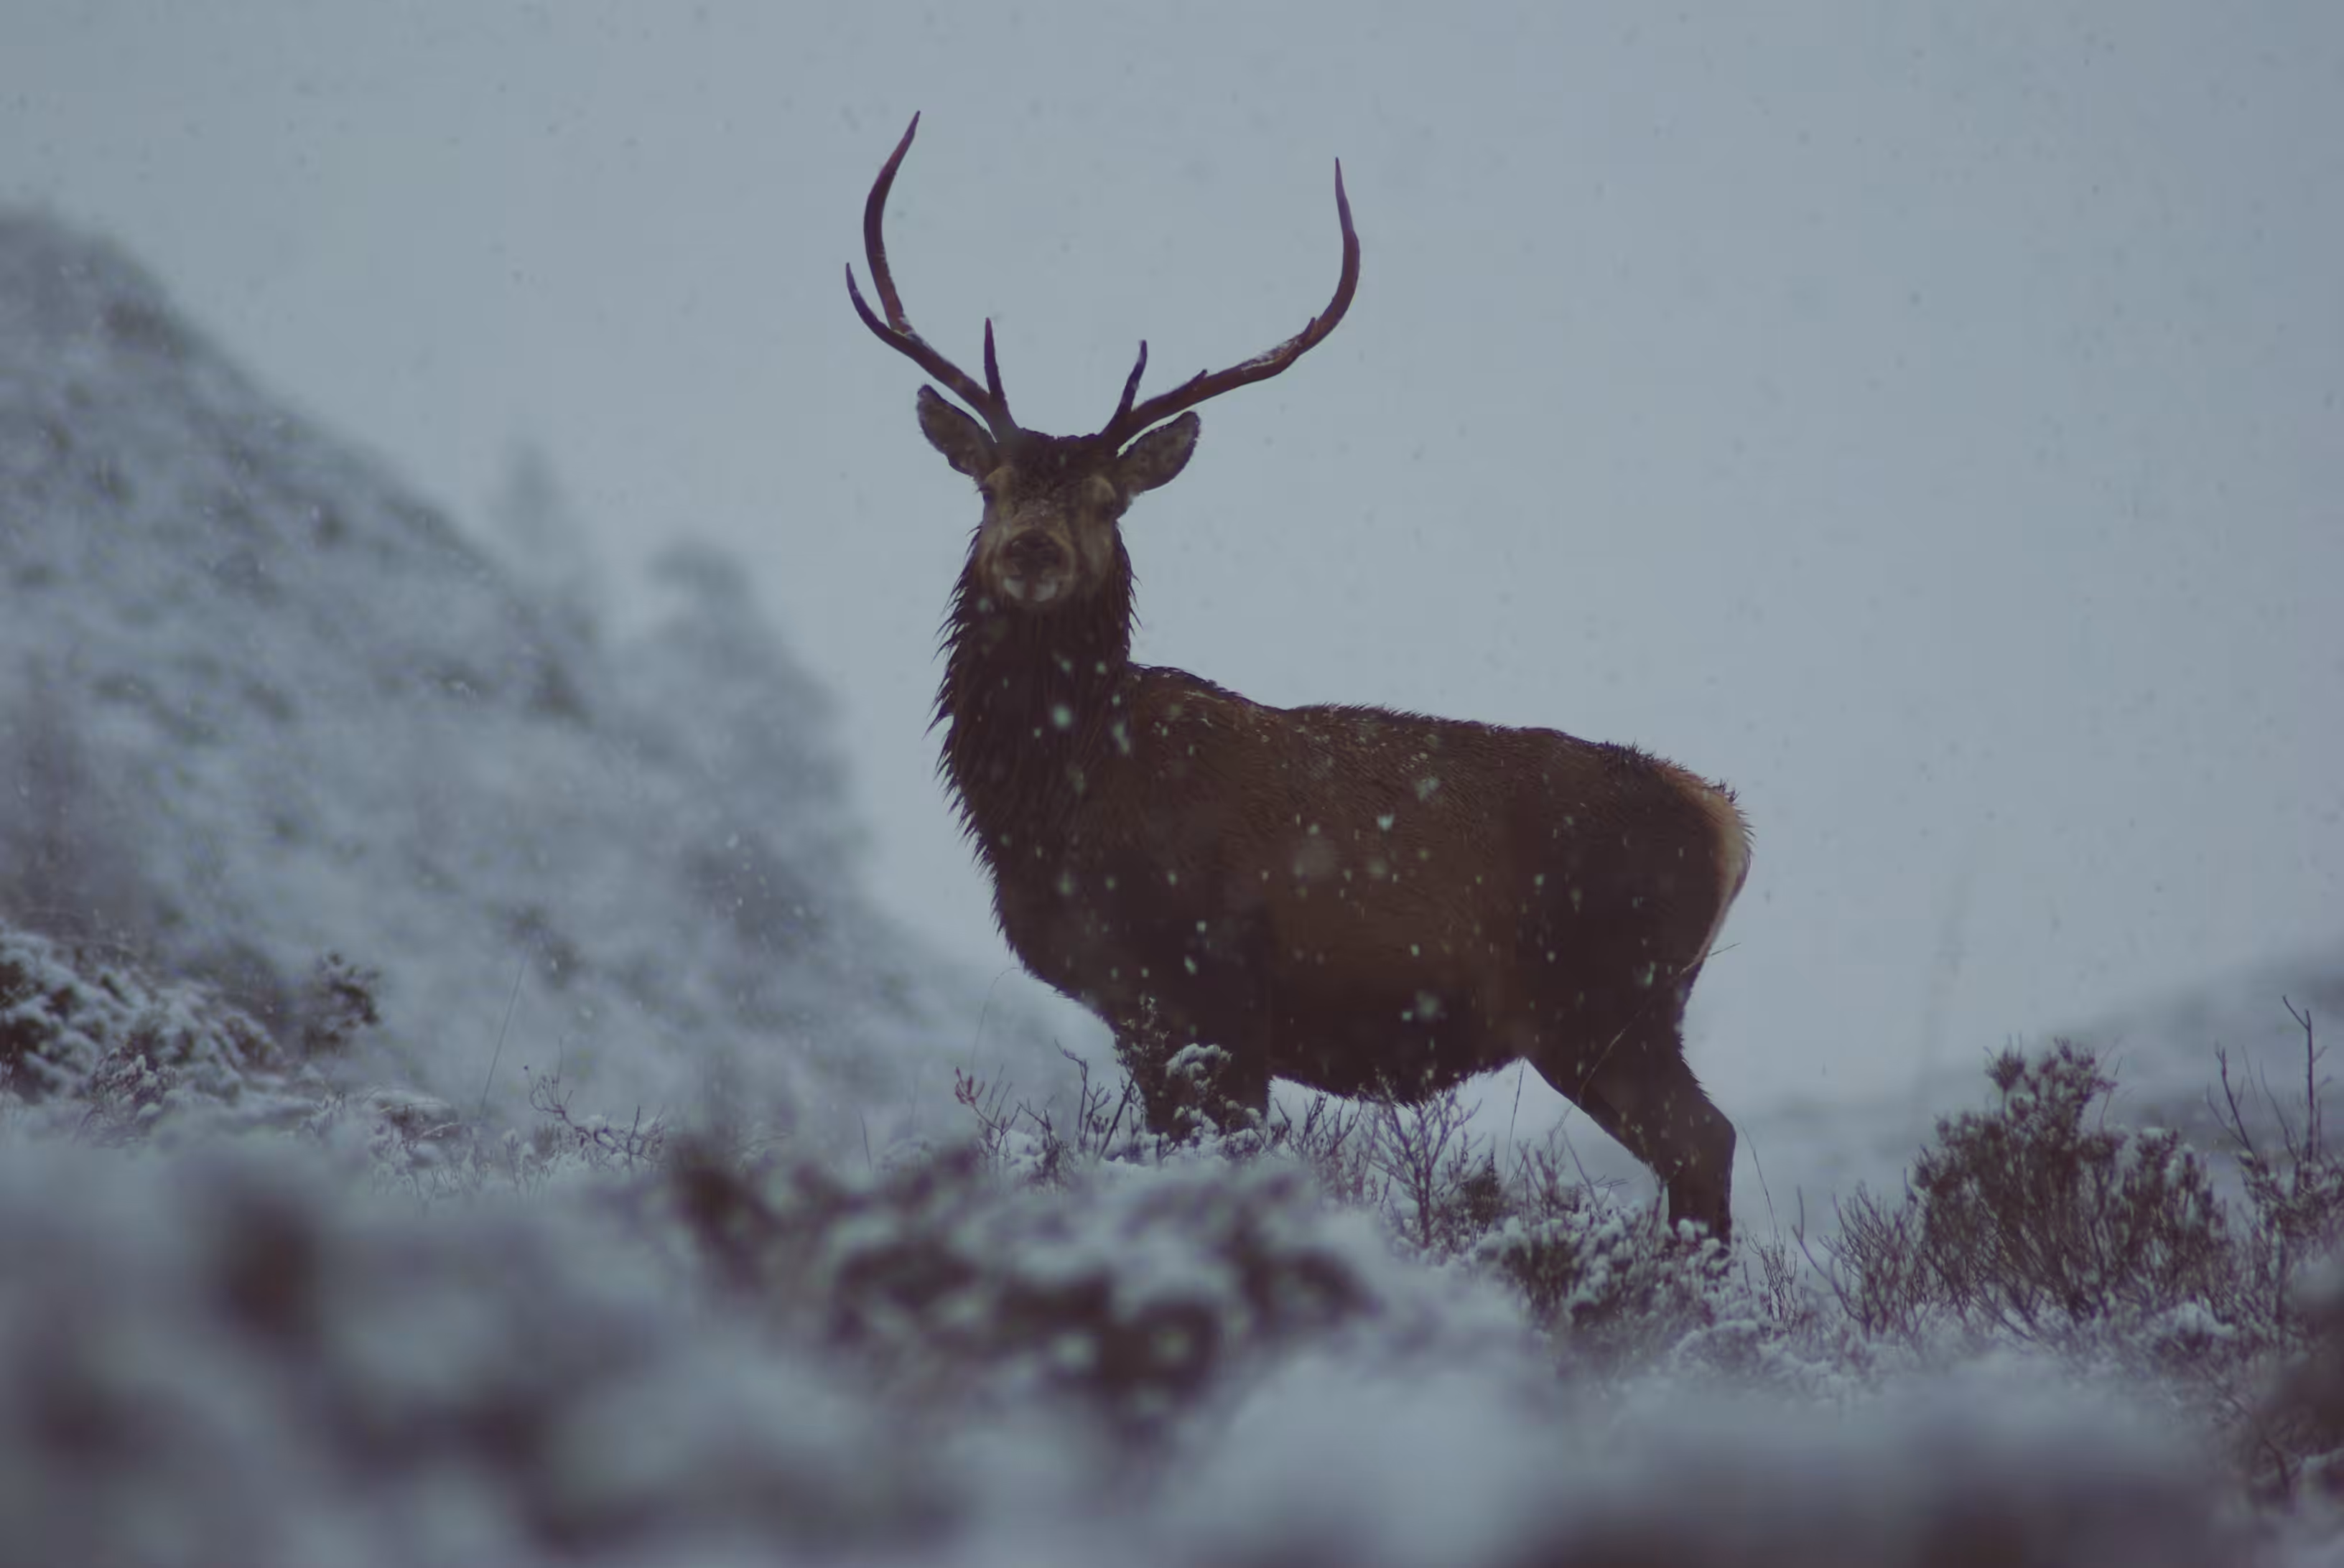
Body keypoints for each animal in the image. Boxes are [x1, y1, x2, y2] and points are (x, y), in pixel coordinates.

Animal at [847, 116, 1752, 1237]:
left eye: (1108, 502)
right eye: (993, 486)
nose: (1032, 551)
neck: (1056, 803)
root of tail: (1726, 822)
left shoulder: (1214, 985)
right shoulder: (1140, 1010)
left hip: (1605, 1000)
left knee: (1704, 1139)